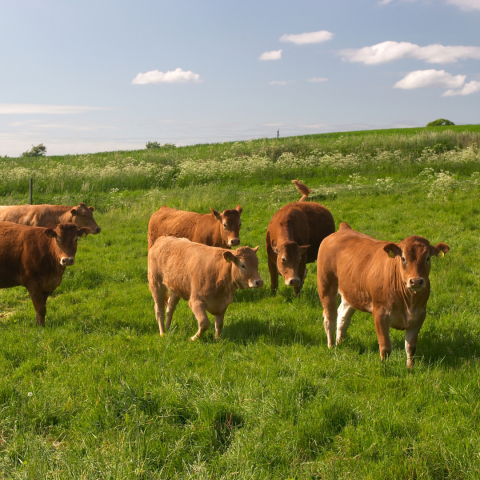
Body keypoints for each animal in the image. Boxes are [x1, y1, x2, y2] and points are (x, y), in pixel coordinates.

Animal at [316, 222, 448, 368]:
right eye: (403, 258)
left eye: (428, 258)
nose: (416, 281)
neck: (408, 302)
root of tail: (344, 229)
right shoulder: (380, 314)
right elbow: (385, 347)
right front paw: (385, 366)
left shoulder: (419, 315)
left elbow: (411, 347)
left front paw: (410, 367)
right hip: (326, 286)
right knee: (330, 318)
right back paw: (331, 345)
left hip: (352, 293)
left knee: (343, 317)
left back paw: (340, 342)